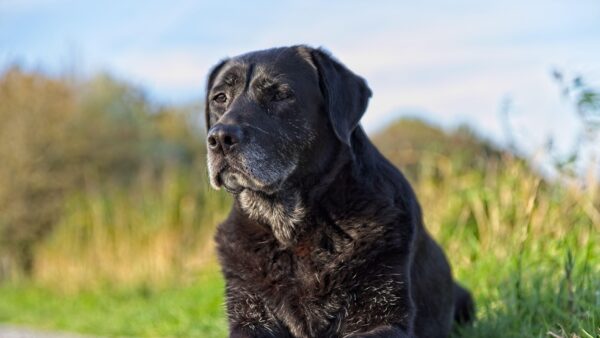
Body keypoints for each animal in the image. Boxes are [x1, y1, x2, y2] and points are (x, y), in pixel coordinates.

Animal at [205, 45, 474, 338]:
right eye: (220, 98)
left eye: (280, 95)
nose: (219, 138)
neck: (291, 231)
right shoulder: (249, 314)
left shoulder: (385, 316)